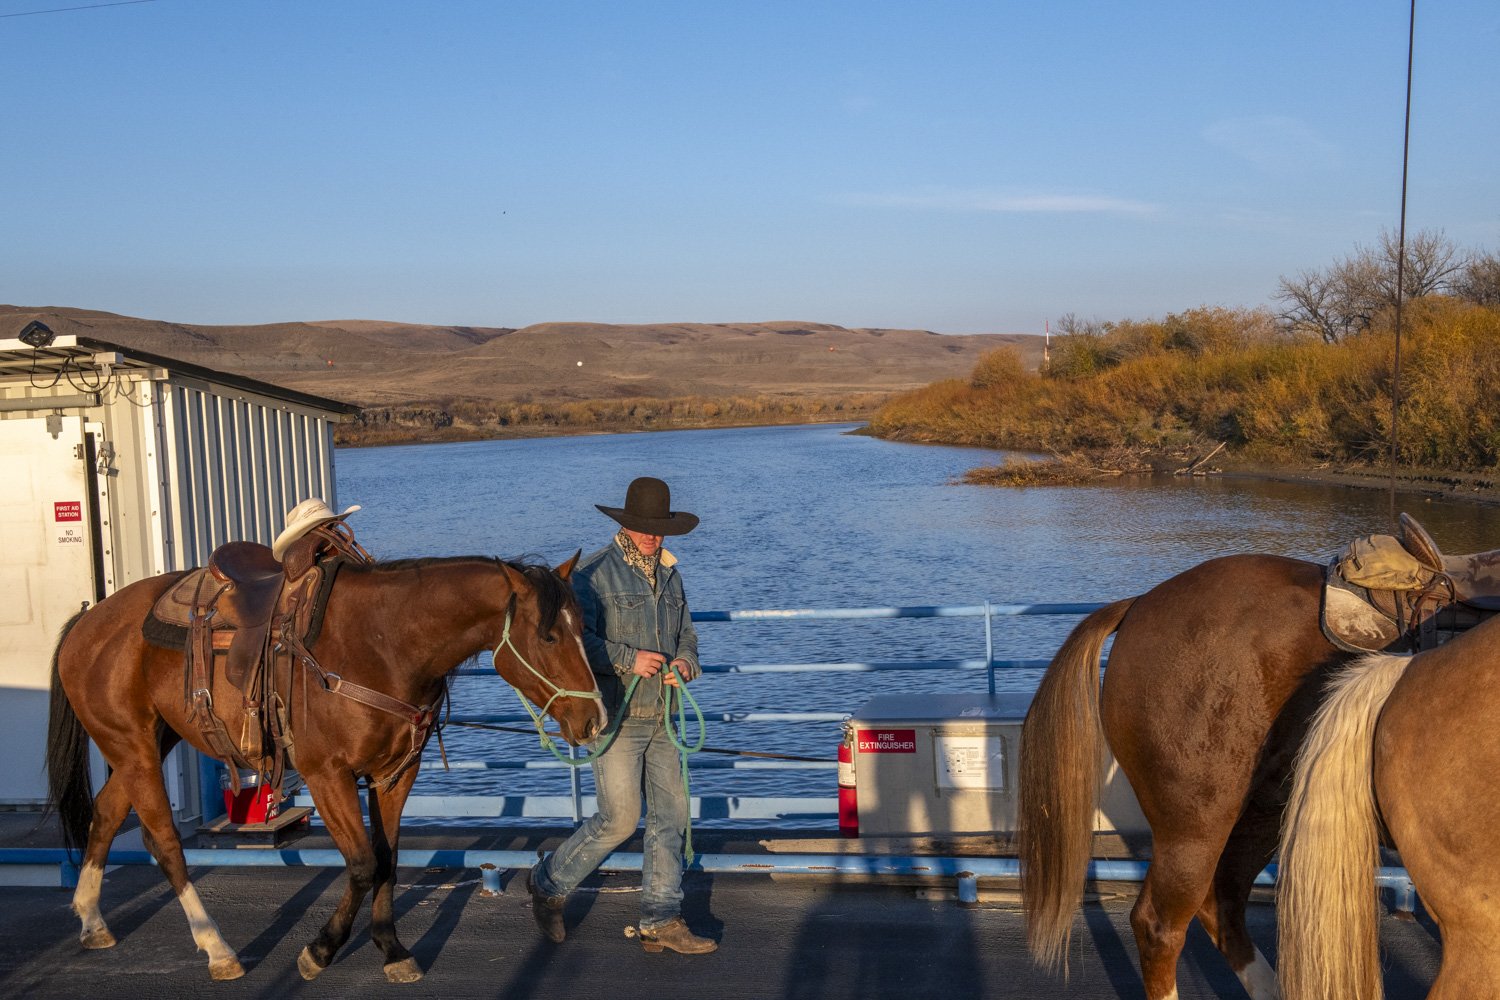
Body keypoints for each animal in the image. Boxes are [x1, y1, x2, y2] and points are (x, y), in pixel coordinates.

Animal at [48, 554, 609, 983]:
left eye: (584, 627)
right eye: (550, 637)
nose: (595, 719)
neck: (383, 643)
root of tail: (89, 620)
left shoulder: (395, 774)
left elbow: (387, 859)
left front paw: (392, 949)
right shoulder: (327, 776)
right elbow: (361, 863)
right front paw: (320, 950)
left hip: (143, 745)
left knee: (105, 814)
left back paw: (92, 921)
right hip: (132, 745)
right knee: (163, 840)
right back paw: (217, 948)